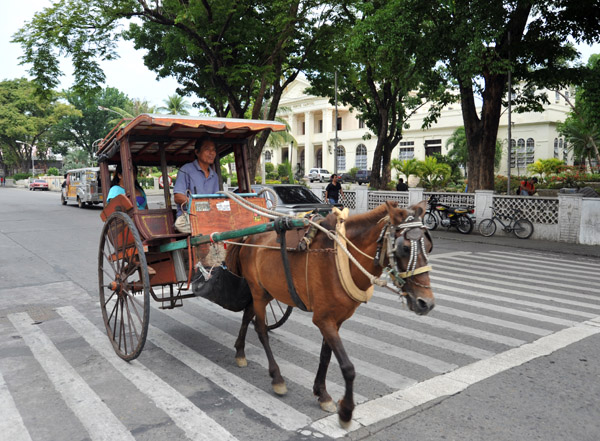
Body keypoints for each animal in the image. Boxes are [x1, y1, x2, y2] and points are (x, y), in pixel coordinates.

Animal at [223, 200, 434, 426]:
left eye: (429, 246)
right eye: (405, 248)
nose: (426, 303)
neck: (341, 258)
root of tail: (250, 236)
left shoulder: (336, 320)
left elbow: (325, 356)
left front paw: (321, 393)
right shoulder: (323, 320)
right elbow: (348, 367)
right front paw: (346, 411)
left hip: (267, 290)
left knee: (248, 315)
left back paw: (240, 352)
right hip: (258, 292)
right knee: (261, 330)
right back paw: (276, 377)